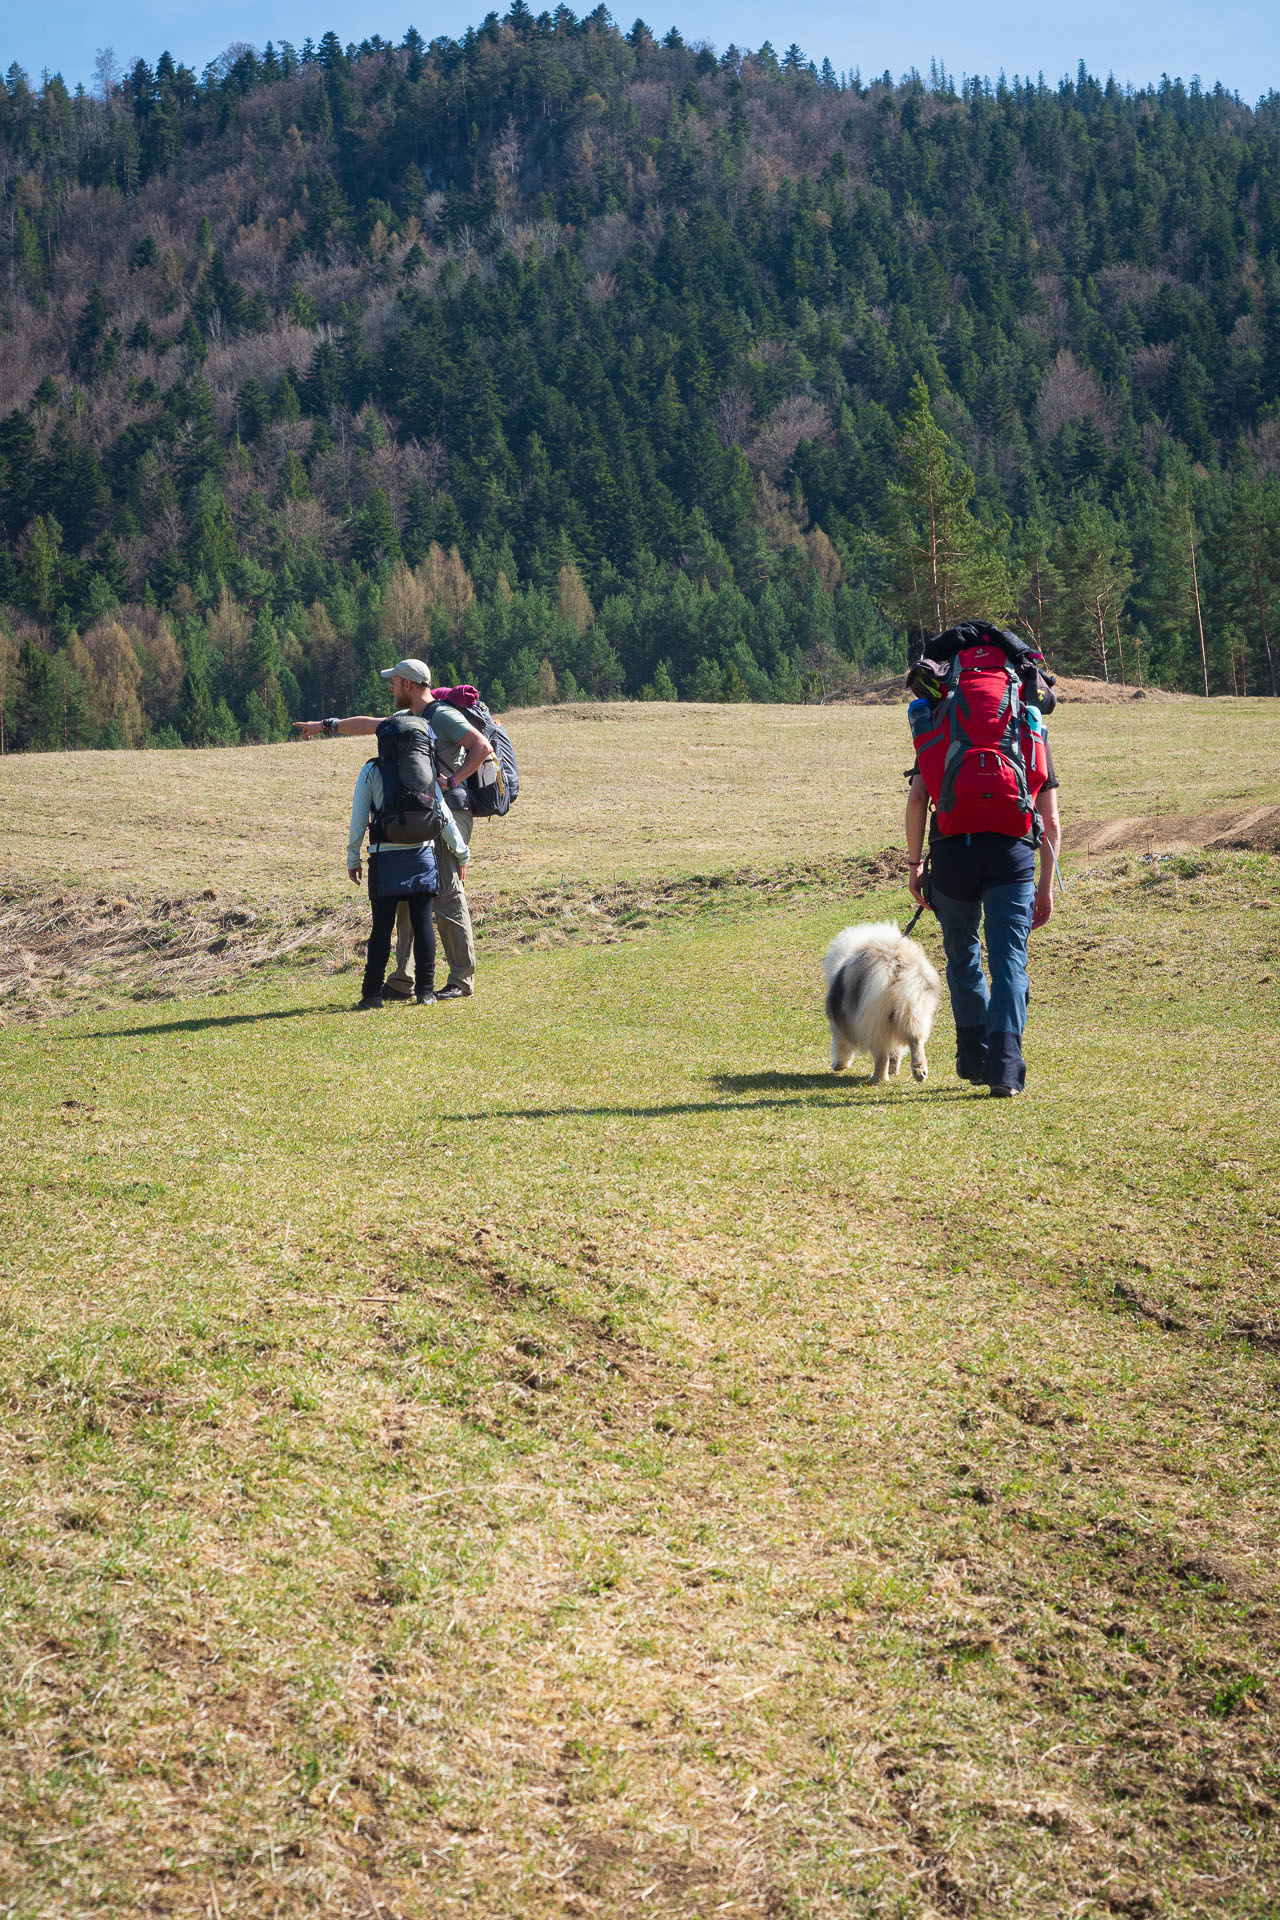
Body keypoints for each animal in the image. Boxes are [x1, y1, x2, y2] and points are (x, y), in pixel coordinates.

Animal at [825, 925, 948, 1090]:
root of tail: (895, 966)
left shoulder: (840, 1024)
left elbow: (841, 1046)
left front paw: (838, 1065)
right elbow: (895, 1052)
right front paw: (894, 1069)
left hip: (877, 1023)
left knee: (881, 1056)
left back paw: (878, 1078)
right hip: (913, 1012)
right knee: (915, 1041)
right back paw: (919, 1071)